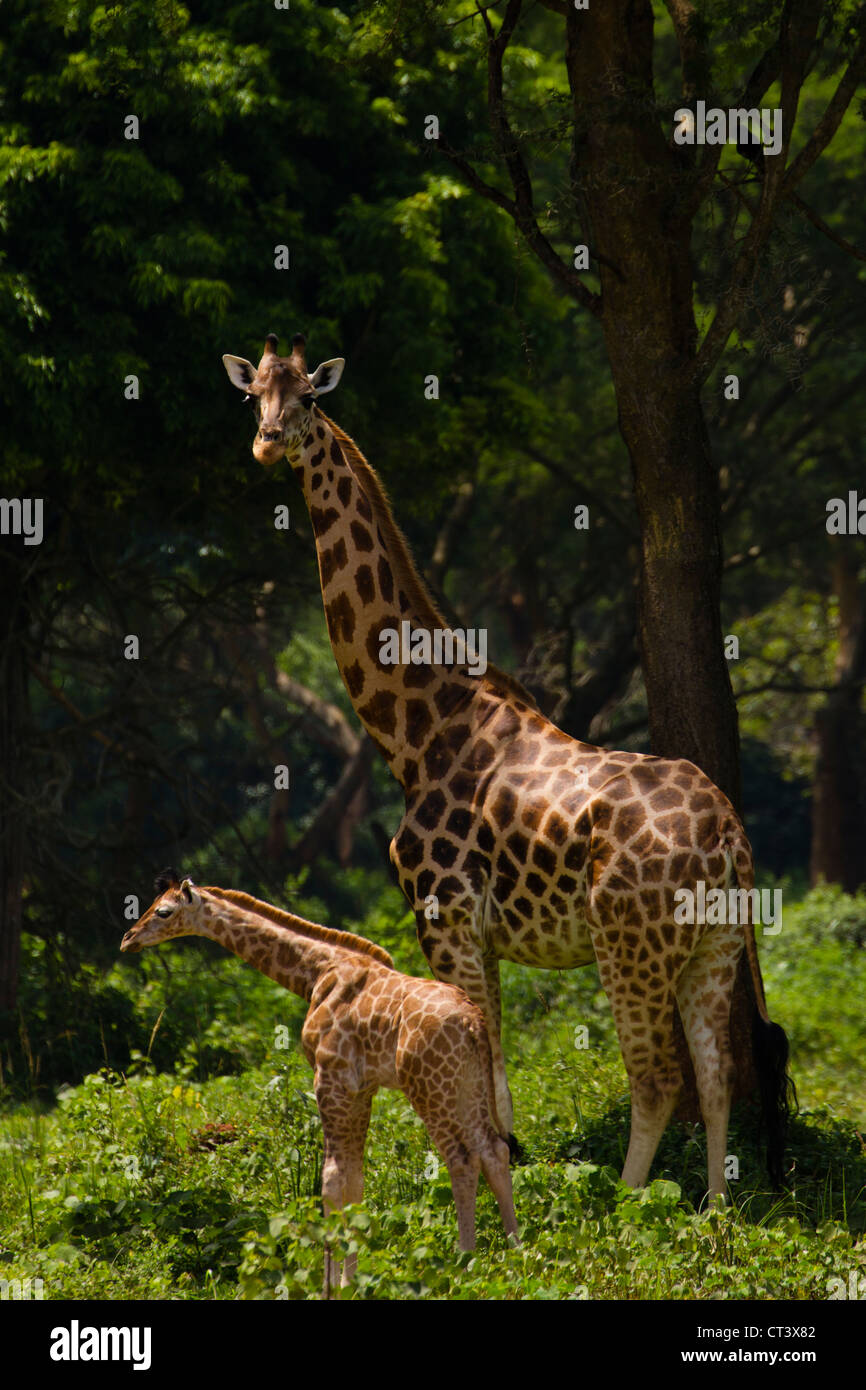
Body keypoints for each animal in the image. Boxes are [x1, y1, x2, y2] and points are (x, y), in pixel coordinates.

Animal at [118, 867, 517, 1289]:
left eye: (163, 911)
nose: (128, 939)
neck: (315, 972)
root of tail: (474, 1022)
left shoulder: (329, 1079)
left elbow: (330, 1180)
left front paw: (331, 1284)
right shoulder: (361, 1088)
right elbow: (355, 1179)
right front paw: (350, 1280)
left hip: (429, 1087)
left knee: (461, 1158)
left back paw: (465, 1259)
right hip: (467, 1083)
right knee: (494, 1150)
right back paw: (516, 1253)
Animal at [222, 336, 795, 1206]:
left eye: (310, 400)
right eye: (253, 394)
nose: (266, 442)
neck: (415, 730)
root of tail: (730, 836)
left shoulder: (444, 916)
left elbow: (478, 1061)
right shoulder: (478, 933)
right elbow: (495, 1073)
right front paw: (511, 1162)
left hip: (630, 943)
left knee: (656, 1076)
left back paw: (627, 1207)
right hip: (717, 945)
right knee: (717, 1070)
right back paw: (712, 1213)